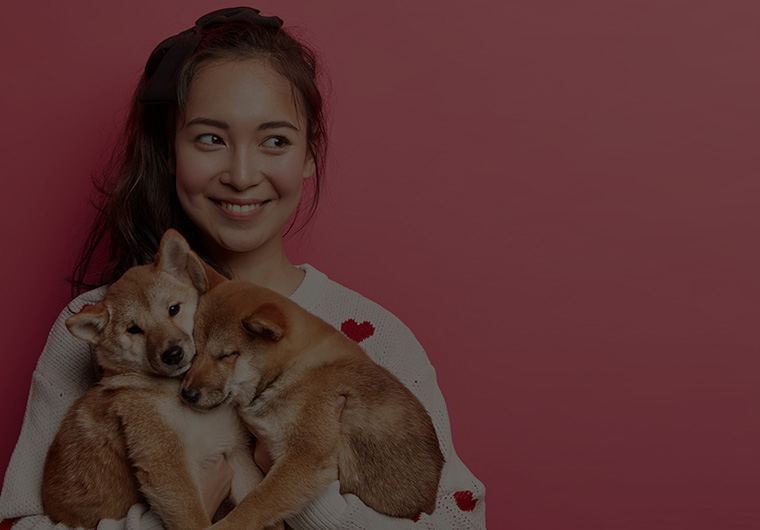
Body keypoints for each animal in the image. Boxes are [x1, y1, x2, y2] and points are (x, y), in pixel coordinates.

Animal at [42, 229, 262, 528]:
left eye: (173, 309)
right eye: (134, 330)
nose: (173, 354)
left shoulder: (234, 451)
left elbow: (256, 503)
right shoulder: (166, 467)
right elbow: (196, 519)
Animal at [180, 245, 446, 524]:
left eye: (226, 355)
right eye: (195, 348)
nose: (187, 393)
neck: (289, 368)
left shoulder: (305, 457)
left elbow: (252, 506)